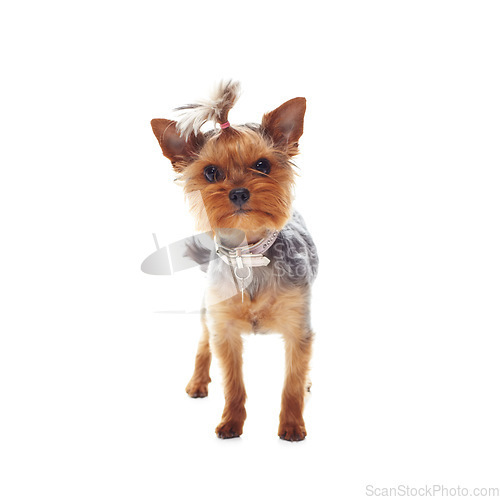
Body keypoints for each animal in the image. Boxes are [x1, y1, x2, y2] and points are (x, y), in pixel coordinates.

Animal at [150, 82, 318, 442]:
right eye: (211, 172)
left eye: (262, 165)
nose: (239, 192)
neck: (249, 257)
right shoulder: (223, 327)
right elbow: (232, 382)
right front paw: (230, 422)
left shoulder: (298, 326)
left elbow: (293, 380)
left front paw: (292, 425)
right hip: (207, 313)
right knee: (203, 344)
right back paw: (198, 382)